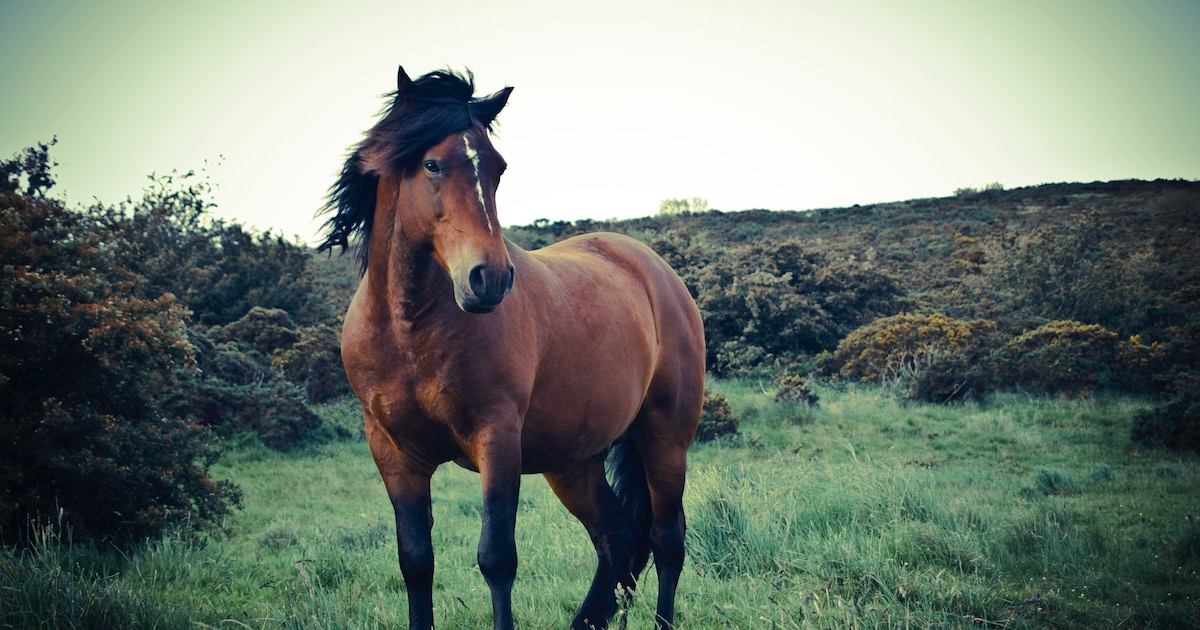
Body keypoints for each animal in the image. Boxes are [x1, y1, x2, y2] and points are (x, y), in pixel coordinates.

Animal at [318, 66, 705, 630]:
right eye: (431, 163)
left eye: (498, 168)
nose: (491, 278)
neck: (409, 332)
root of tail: (655, 269)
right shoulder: (393, 453)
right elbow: (415, 562)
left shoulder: (496, 439)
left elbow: (496, 559)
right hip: (571, 459)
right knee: (618, 538)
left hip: (665, 439)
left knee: (667, 538)